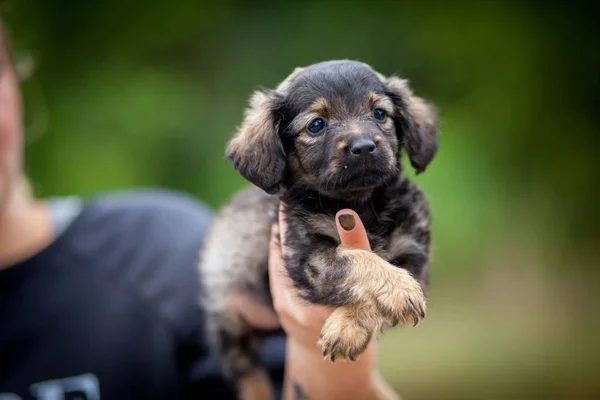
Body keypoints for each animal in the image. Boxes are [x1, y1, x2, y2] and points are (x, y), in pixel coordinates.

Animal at [199, 60, 438, 400]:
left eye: (379, 113)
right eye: (316, 125)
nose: (364, 147)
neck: (362, 205)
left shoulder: (414, 254)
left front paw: (347, 327)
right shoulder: (309, 256)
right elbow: (356, 260)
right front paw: (396, 288)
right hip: (229, 320)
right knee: (248, 374)